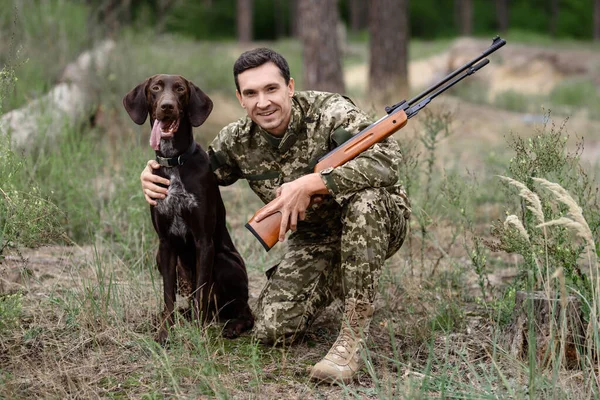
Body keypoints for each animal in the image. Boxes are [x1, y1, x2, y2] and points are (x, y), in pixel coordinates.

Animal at [122, 75, 253, 344]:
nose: (167, 106)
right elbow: (168, 294)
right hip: (161, 258)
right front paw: (165, 330)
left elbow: (201, 292)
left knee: (243, 310)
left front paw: (200, 335)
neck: (174, 162)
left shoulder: (204, 241)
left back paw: (232, 325)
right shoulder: (165, 244)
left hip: (224, 262)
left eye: (180, 89)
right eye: (155, 88)